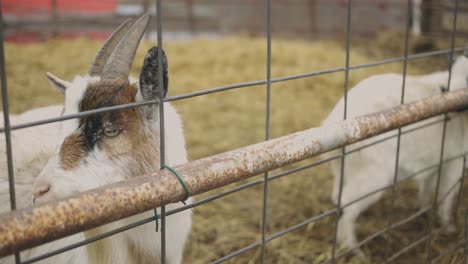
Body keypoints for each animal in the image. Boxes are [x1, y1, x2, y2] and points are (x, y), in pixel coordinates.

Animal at [322, 54, 468, 255]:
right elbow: (446, 196)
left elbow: (428, 187)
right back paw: (355, 250)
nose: (446, 91)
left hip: (344, 170)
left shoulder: (437, 160)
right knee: (347, 205)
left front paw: (423, 210)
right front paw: (448, 227)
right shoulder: (455, 161)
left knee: (337, 198)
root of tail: (335, 123)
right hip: (373, 176)